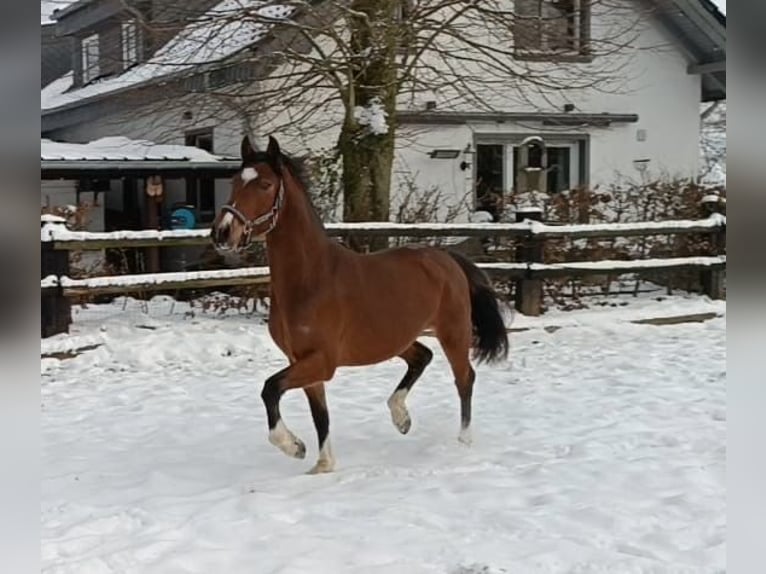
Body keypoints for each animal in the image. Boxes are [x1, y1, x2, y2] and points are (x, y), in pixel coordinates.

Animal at [212, 137, 510, 474]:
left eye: (264, 184)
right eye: (235, 181)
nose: (222, 232)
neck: (310, 279)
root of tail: (448, 259)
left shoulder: (322, 360)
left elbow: (270, 388)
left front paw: (294, 447)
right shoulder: (301, 360)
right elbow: (320, 415)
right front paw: (323, 465)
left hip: (453, 333)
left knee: (464, 378)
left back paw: (462, 442)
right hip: (395, 338)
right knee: (422, 356)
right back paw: (401, 418)